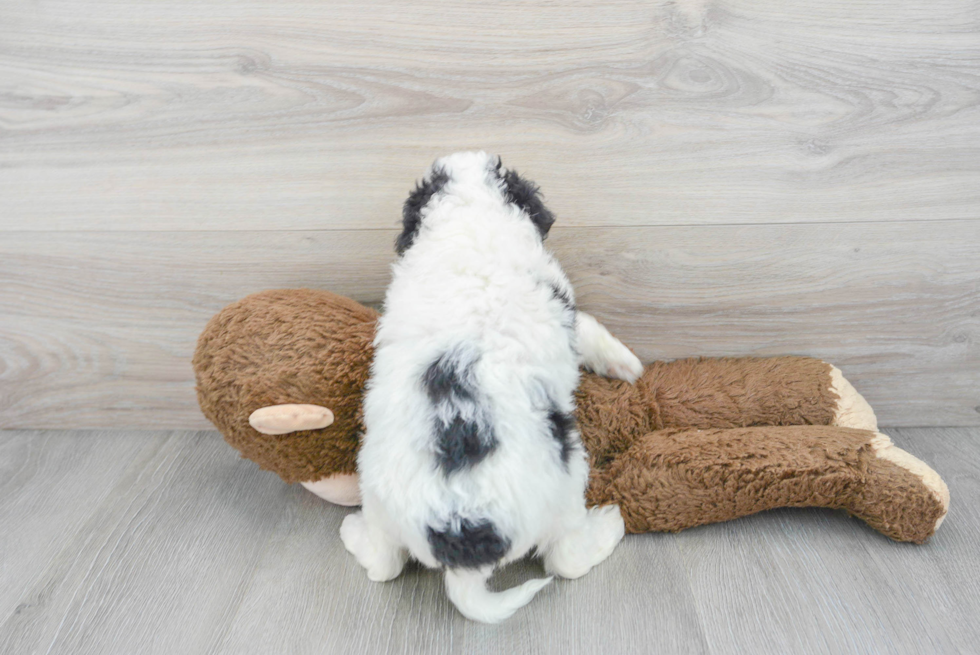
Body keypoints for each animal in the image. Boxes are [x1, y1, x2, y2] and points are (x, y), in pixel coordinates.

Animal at [342, 151, 644, 624]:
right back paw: (609, 524)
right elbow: (591, 327)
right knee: (566, 559)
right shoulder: (564, 306)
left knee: (384, 563)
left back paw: (352, 532)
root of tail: (463, 539)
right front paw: (628, 364)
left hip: (375, 492)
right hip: (565, 482)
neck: (469, 216)